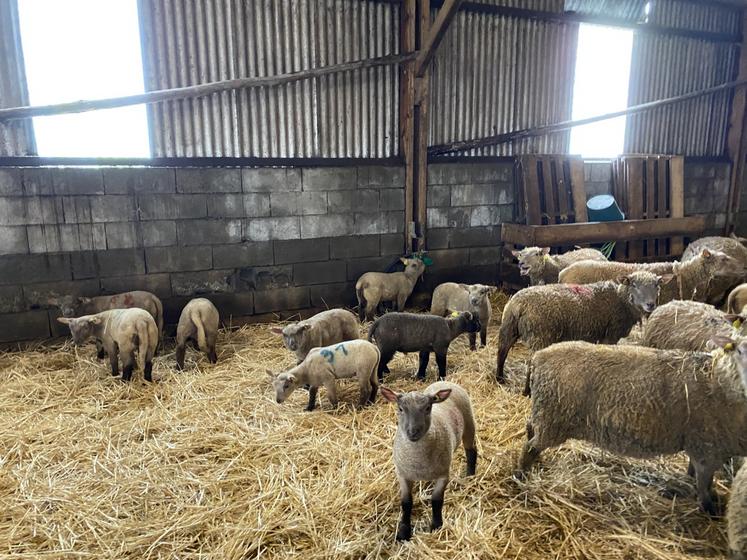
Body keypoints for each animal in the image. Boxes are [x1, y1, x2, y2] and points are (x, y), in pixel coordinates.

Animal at [379, 381, 477, 541]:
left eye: (427, 408)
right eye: (400, 408)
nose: (413, 432)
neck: (418, 457)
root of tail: (445, 381)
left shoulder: (443, 475)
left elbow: (437, 501)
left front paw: (436, 526)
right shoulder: (403, 475)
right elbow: (406, 503)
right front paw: (403, 532)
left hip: (469, 423)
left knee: (471, 451)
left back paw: (470, 475)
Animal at [496, 271, 669, 388]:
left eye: (657, 285)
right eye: (634, 285)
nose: (650, 304)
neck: (622, 300)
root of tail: (519, 305)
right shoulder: (611, 333)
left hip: (508, 328)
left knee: (501, 353)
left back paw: (500, 379)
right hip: (541, 335)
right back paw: (527, 391)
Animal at [517, 336, 747, 516]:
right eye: (740, 351)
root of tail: (538, 357)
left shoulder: (700, 444)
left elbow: (696, 476)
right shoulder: (707, 447)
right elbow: (703, 484)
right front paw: (711, 509)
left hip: (544, 412)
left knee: (530, 429)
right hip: (553, 418)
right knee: (530, 447)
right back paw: (521, 476)